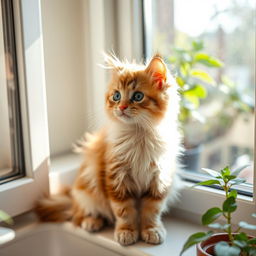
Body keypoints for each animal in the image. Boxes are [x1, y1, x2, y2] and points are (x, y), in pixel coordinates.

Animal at [35, 54, 182, 246]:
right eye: (116, 96)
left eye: (138, 96)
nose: (121, 107)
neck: (138, 136)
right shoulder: (116, 177)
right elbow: (123, 211)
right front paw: (126, 232)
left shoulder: (159, 179)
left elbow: (152, 211)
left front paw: (151, 230)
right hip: (88, 185)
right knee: (80, 213)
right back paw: (91, 222)